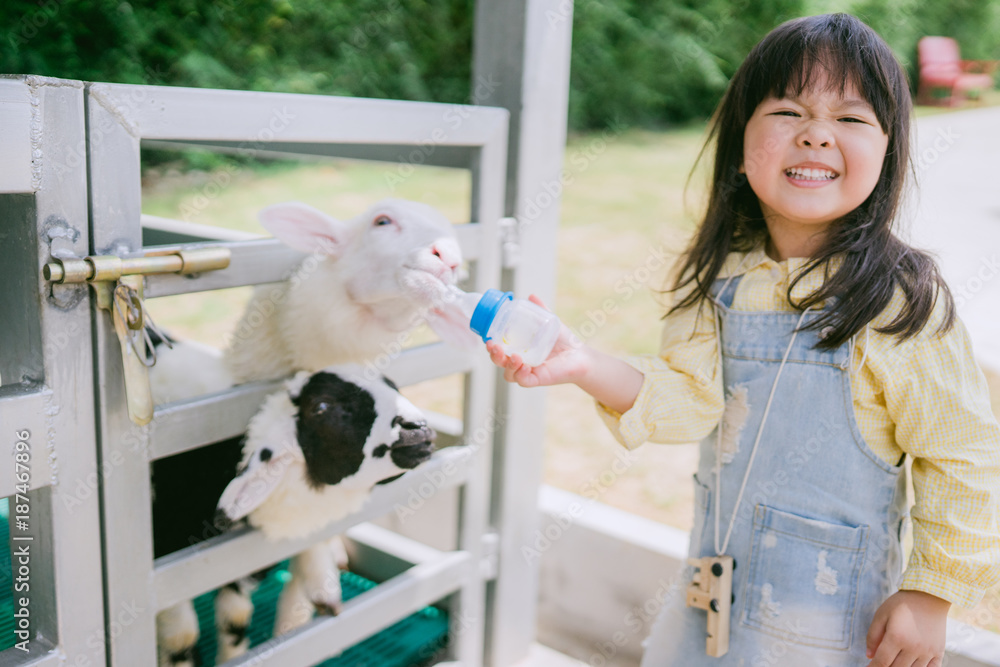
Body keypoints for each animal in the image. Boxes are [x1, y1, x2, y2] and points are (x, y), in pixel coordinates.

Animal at [154, 366, 436, 667]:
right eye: (321, 407)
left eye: (393, 386)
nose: (418, 427)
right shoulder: (169, 565)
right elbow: (185, 636)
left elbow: (236, 617)